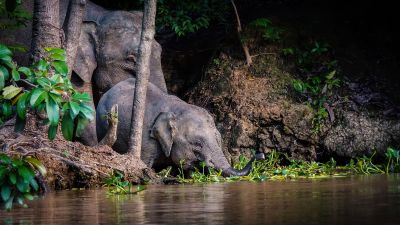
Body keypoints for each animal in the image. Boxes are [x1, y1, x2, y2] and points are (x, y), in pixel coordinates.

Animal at [97, 78, 266, 177]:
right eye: (197, 144)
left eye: (219, 140)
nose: (261, 155)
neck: (176, 109)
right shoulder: (146, 137)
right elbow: (145, 164)